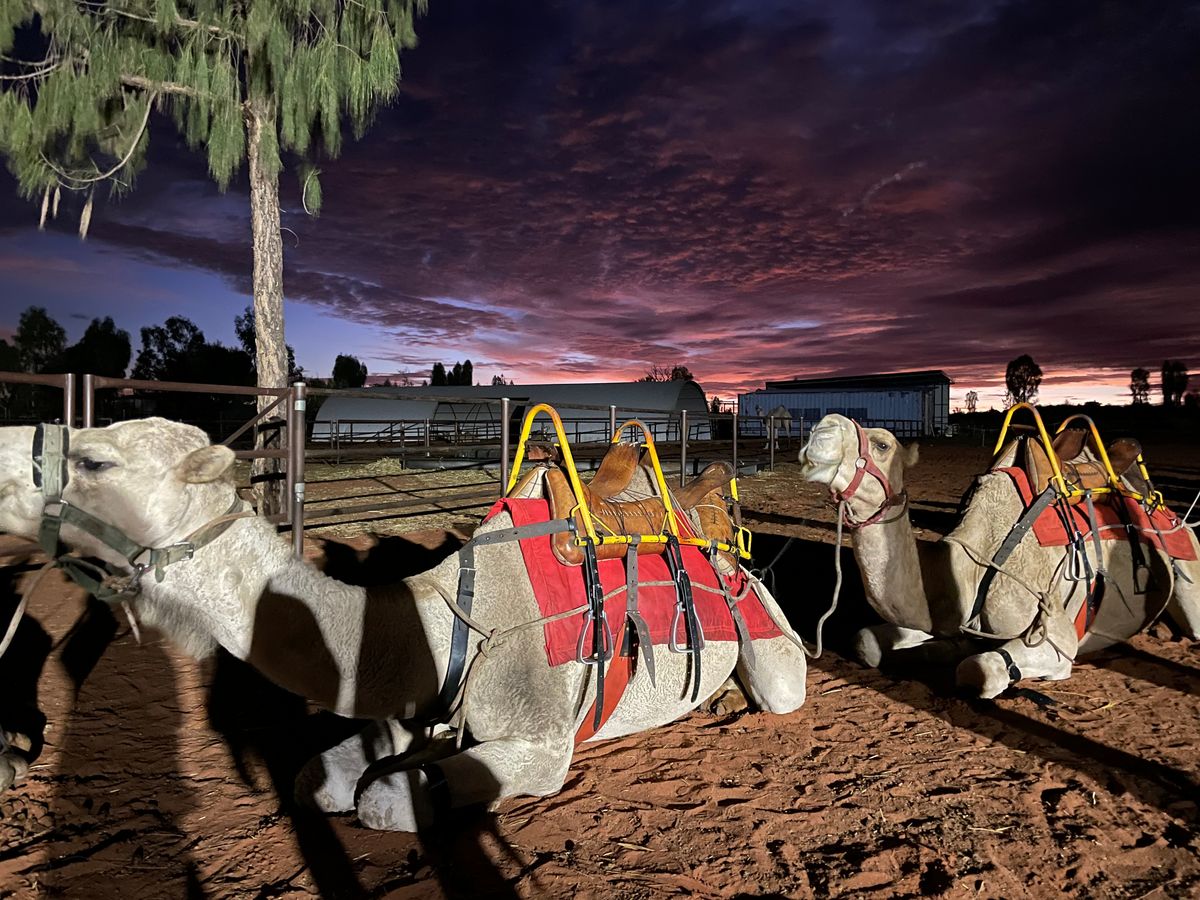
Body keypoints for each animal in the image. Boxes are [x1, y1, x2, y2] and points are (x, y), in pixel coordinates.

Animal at [0, 418, 808, 827]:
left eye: (95, 460)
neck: (448, 622)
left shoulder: (544, 745)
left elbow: (384, 798)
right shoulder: (403, 710)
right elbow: (318, 777)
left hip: (771, 638)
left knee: (783, 686)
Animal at [797, 414, 1200, 698]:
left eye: (882, 444)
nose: (821, 429)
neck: (973, 567)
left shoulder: (1057, 638)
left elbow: (979, 668)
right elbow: (866, 641)